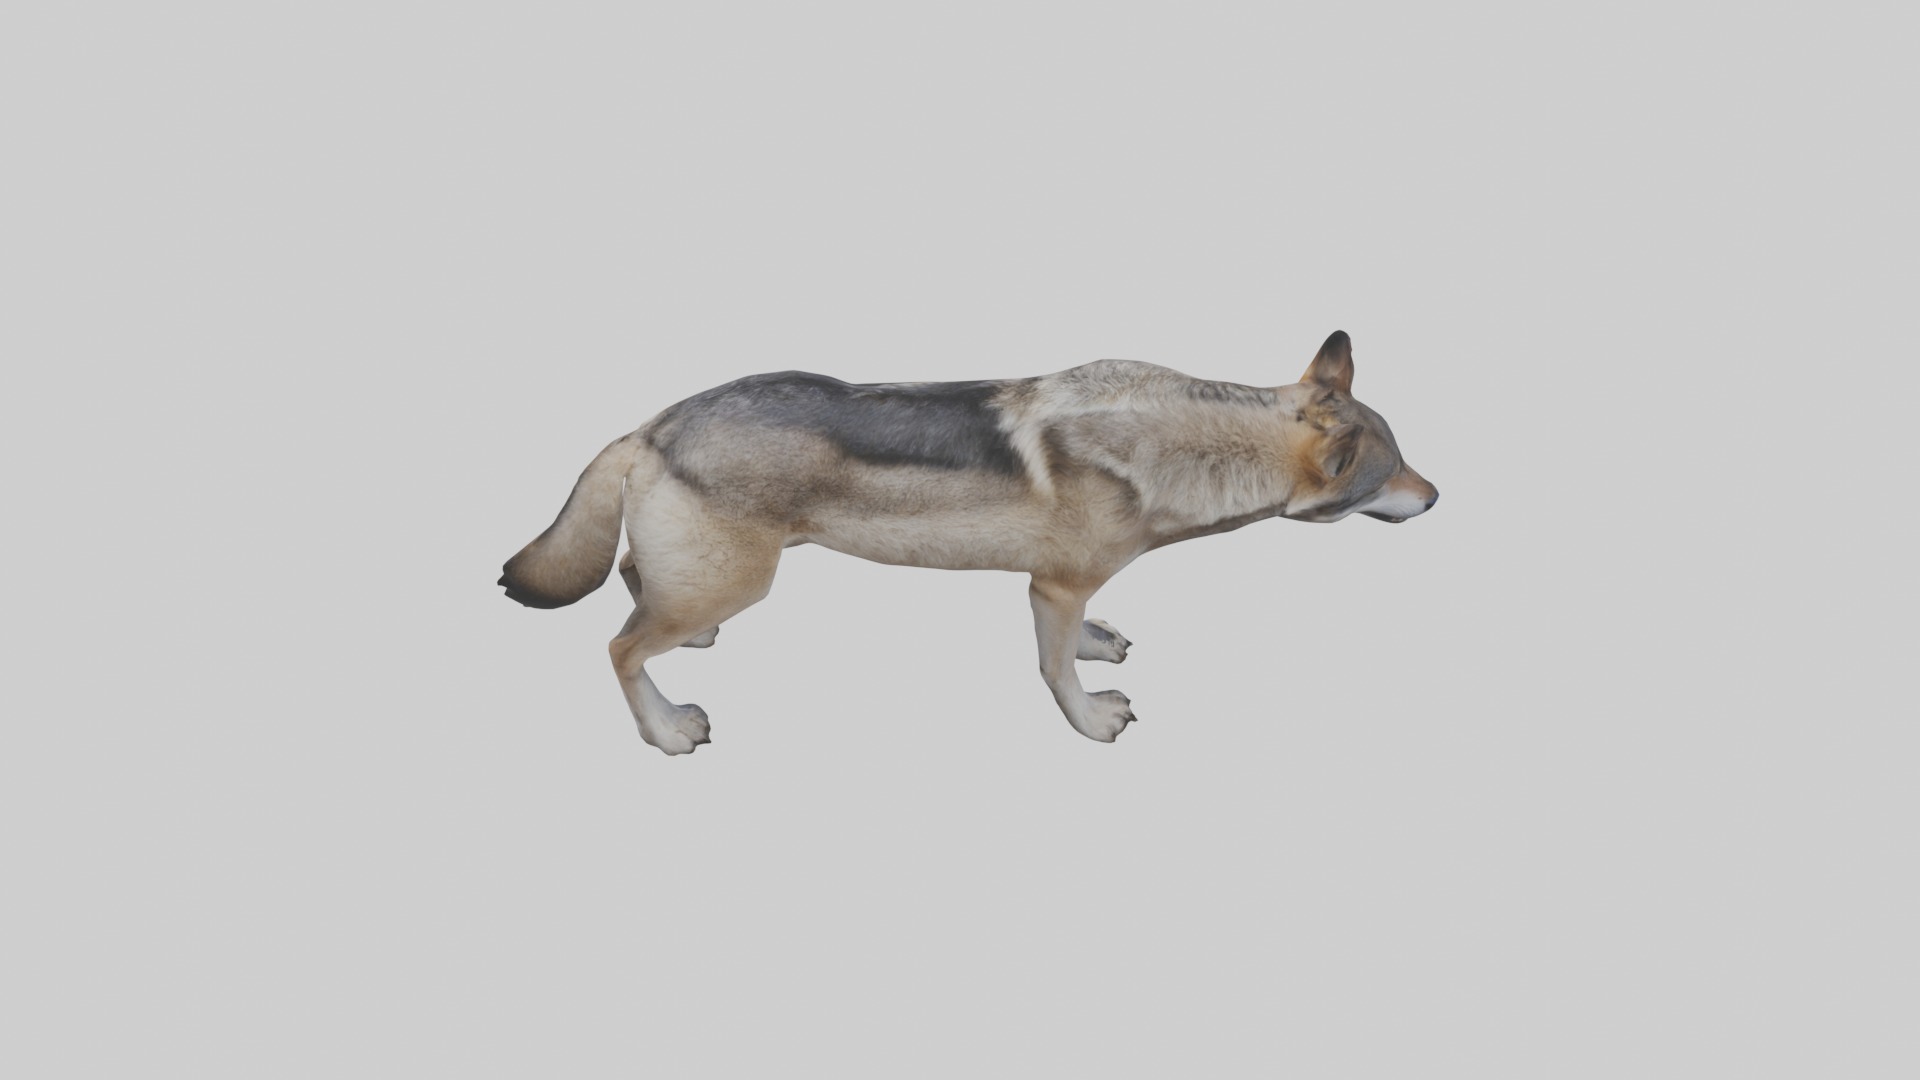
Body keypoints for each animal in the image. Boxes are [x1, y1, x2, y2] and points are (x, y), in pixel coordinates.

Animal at [500, 330, 1437, 754]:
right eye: (1390, 474)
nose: (1437, 496)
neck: (1187, 449)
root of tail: (651, 425)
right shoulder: (1051, 589)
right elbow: (1056, 674)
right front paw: (1090, 720)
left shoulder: (1059, 587)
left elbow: (1079, 639)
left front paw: (1098, 646)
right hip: (744, 579)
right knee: (618, 648)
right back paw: (664, 727)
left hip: (719, 572)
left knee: (636, 579)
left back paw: (690, 641)